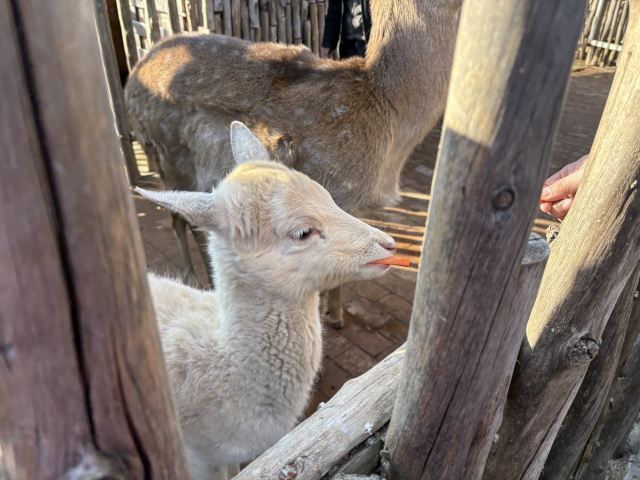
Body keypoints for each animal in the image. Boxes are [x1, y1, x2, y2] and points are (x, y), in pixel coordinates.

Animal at [125, 0, 462, 326]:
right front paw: (334, 315)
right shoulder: (340, 188)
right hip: (172, 153)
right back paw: (199, 280)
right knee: (185, 219)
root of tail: (131, 80)